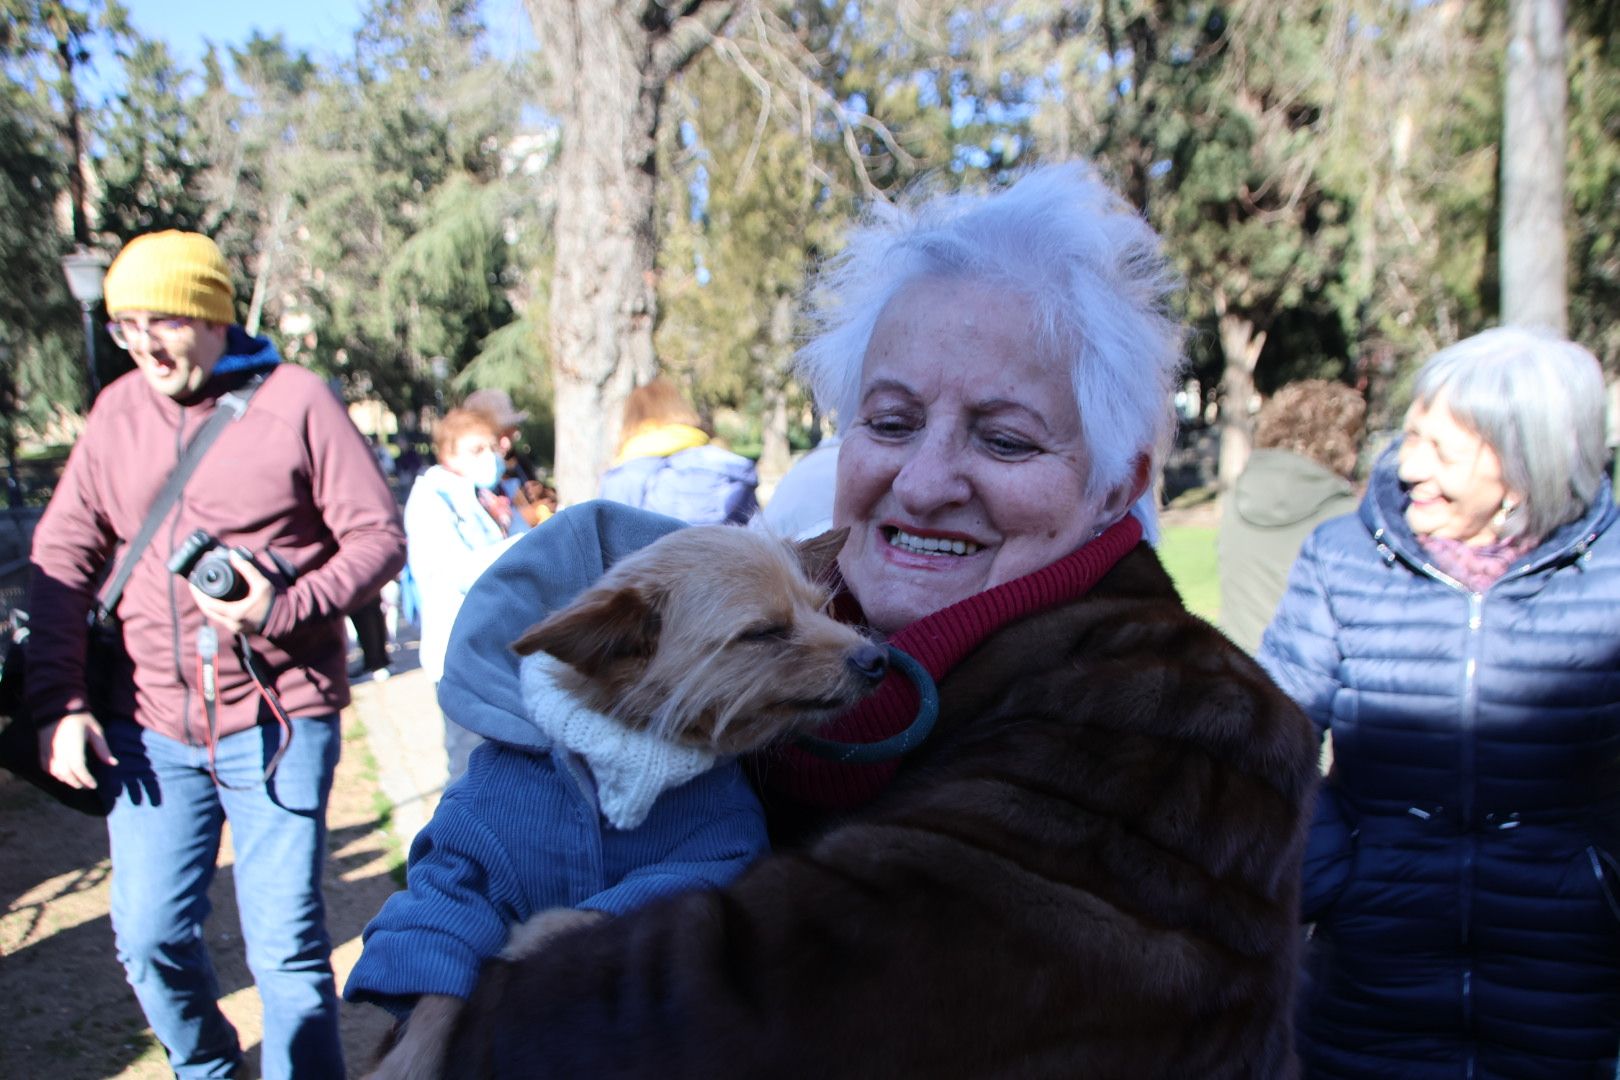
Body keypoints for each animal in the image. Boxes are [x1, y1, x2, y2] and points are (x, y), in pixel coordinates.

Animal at [366, 524, 881, 1080]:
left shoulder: (704, 855)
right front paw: (407, 1061)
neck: (612, 754)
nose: (877, 659)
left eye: (822, 609)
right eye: (763, 633)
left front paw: (535, 934)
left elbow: (603, 907)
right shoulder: (464, 861)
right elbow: (435, 977)